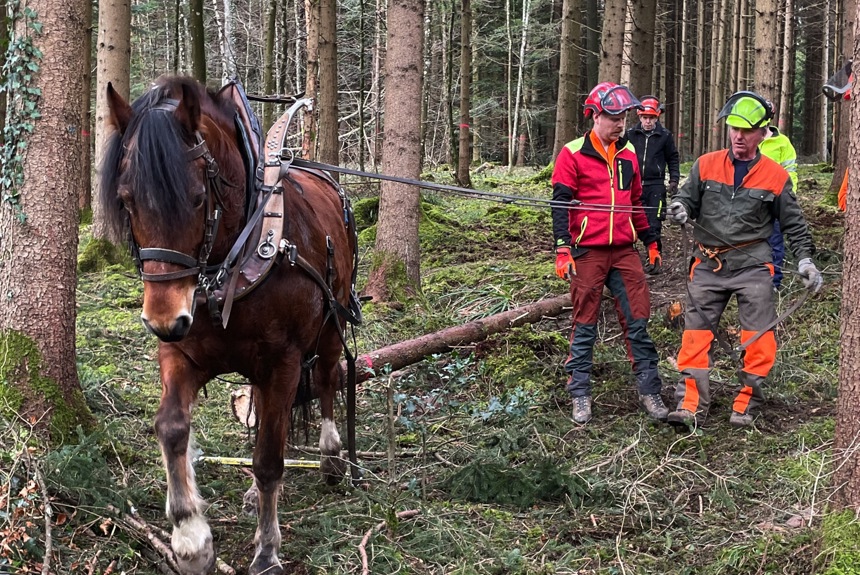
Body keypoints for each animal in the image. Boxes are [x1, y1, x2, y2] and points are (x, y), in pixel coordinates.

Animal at [98, 75, 360, 572]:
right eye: (126, 200)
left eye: (198, 199)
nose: (162, 319)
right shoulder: (181, 352)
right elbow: (172, 427)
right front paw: (190, 538)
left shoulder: (283, 361)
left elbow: (270, 459)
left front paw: (267, 549)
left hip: (331, 323)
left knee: (327, 378)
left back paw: (333, 456)